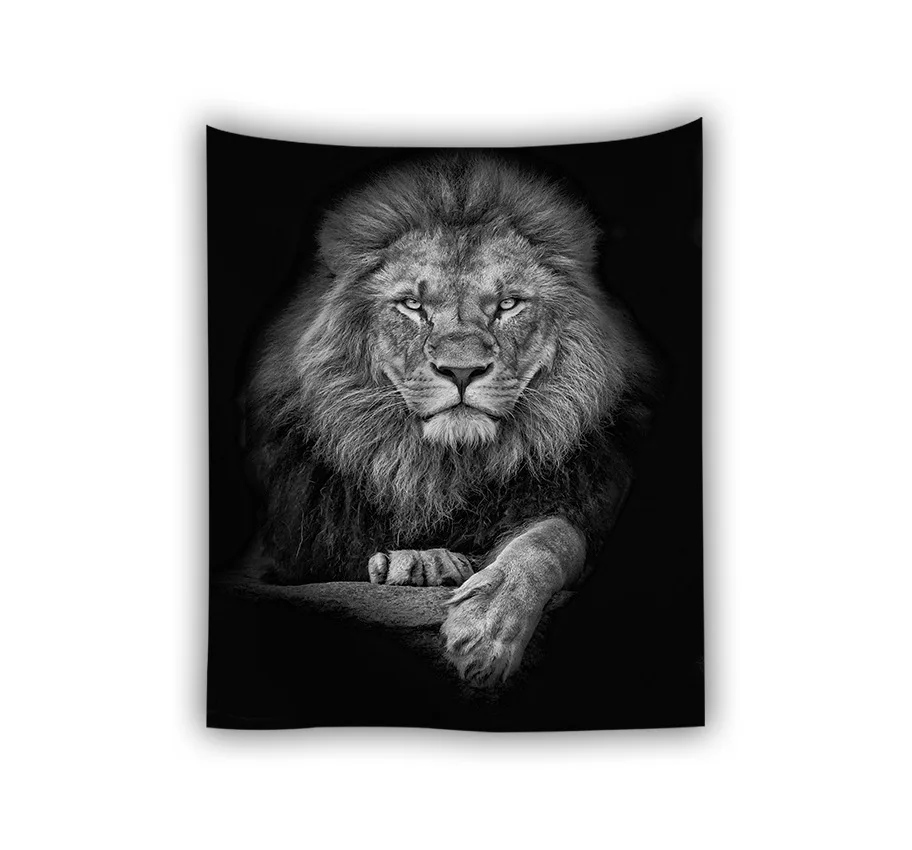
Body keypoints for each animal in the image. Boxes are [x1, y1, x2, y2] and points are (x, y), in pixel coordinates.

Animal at [245, 153, 656, 687]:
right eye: (413, 305)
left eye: (507, 304)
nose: (461, 371)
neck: (443, 467)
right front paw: (421, 561)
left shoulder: (584, 497)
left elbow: (549, 541)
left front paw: (487, 627)